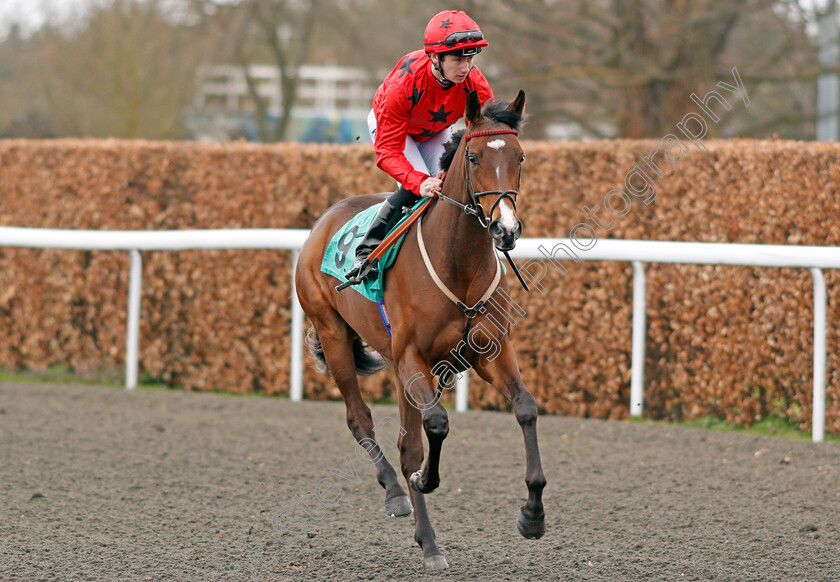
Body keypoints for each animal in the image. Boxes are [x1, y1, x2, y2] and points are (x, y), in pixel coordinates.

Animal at [294, 89, 544, 572]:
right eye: (473, 157)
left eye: (520, 156)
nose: (505, 229)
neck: (459, 262)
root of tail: (323, 222)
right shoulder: (415, 358)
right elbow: (437, 425)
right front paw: (423, 479)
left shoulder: (492, 350)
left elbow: (525, 408)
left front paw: (532, 514)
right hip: (333, 334)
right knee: (361, 419)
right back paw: (399, 497)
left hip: (393, 364)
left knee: (405, 439)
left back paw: (426, 538)